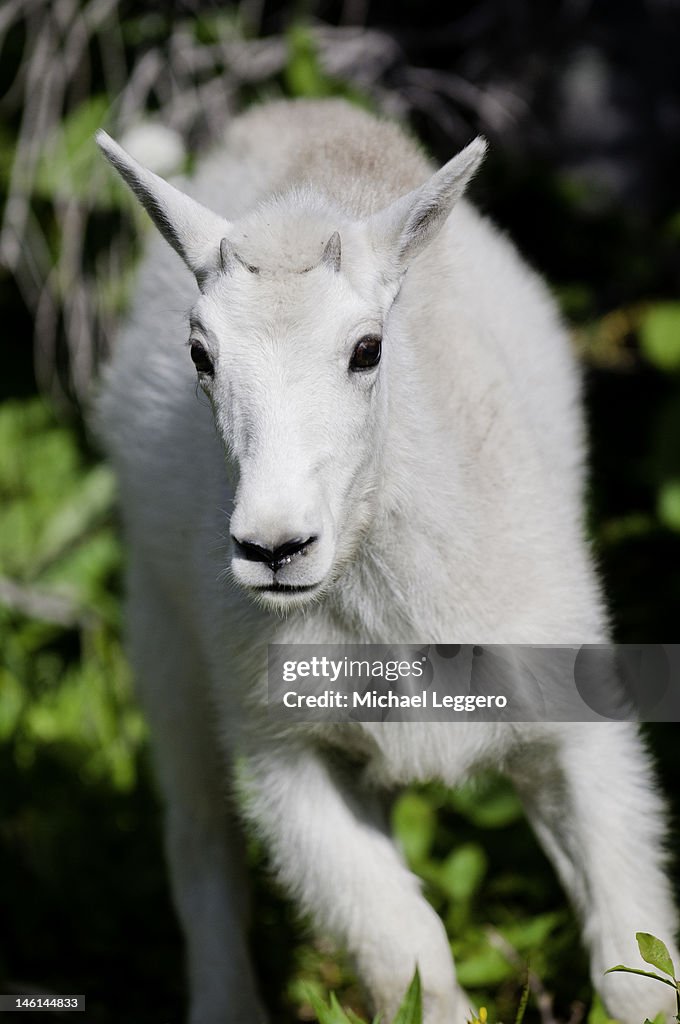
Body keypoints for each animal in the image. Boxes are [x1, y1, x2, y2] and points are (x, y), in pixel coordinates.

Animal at [98, 101, 675, 1024]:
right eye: (200, 355)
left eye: (367, 348)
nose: (275, 548)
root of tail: (292, 117)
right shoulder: (286, 749)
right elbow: (410, 957)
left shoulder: (575, 727)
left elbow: (632, 959)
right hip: (162, 638)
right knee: (201, 844)